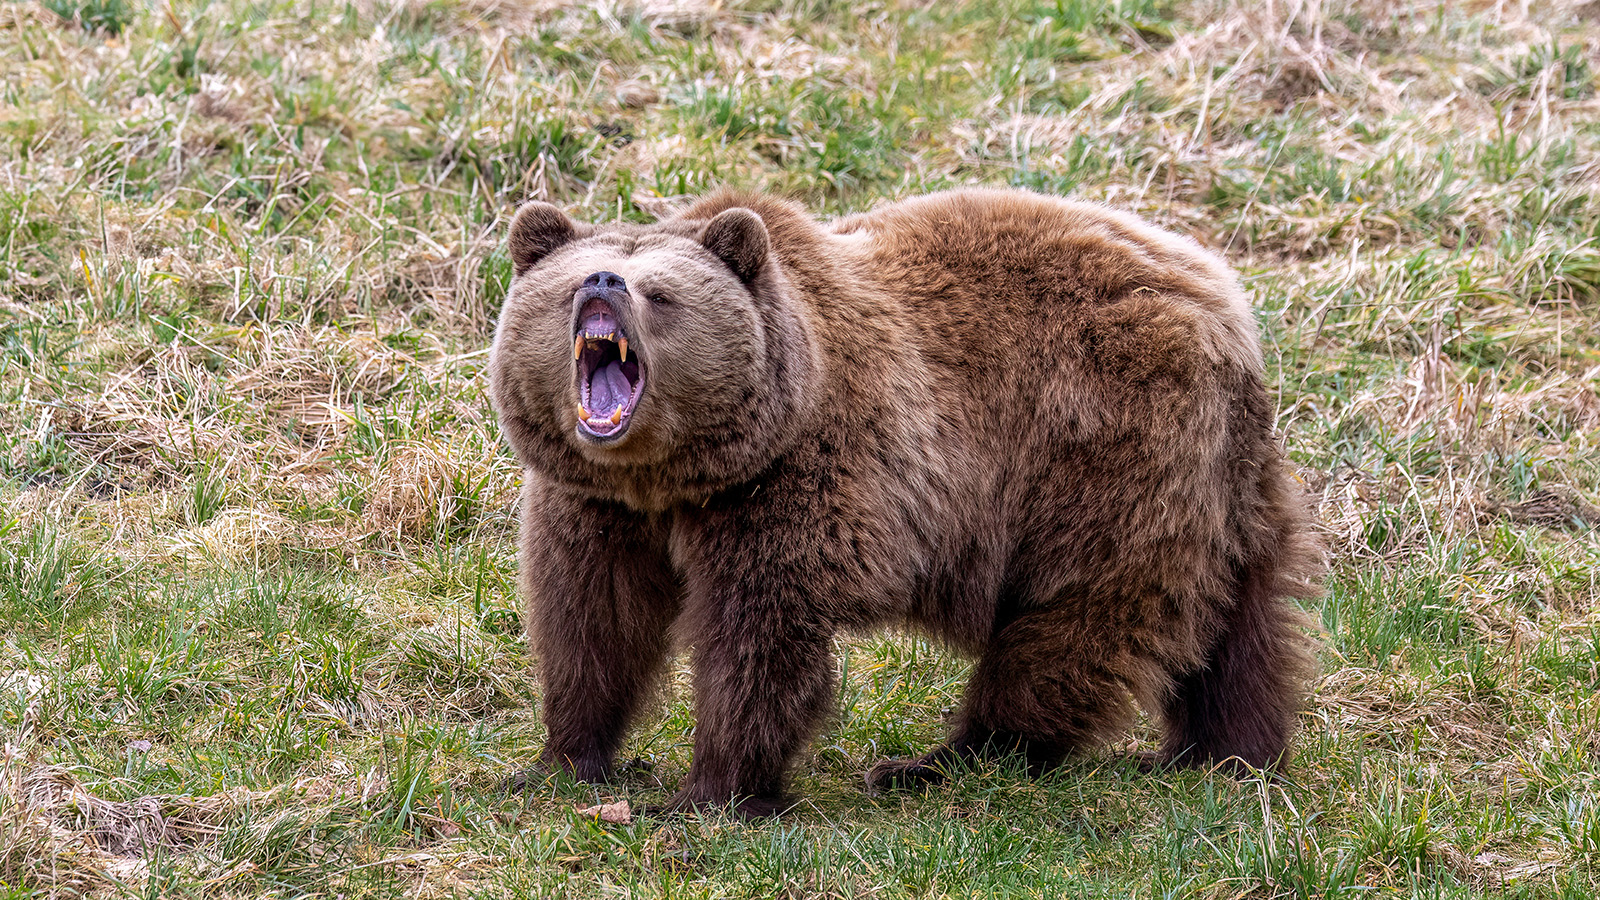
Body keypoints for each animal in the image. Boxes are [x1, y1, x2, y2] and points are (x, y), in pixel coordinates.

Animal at [483, 185, 1312, 816]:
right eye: (573, 280)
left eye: (661, 292)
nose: (603, 284)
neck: (672, 476)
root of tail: (1223, 301)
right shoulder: (597, 506)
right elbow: (594, 621)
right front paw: (560, 761)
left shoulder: (795, 486)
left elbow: (756, 638)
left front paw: (711, 793)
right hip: (1224, 482)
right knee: (1242, 621)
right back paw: (1223, 752)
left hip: (1100, 444)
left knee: (1080, 614)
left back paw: (946, 760)